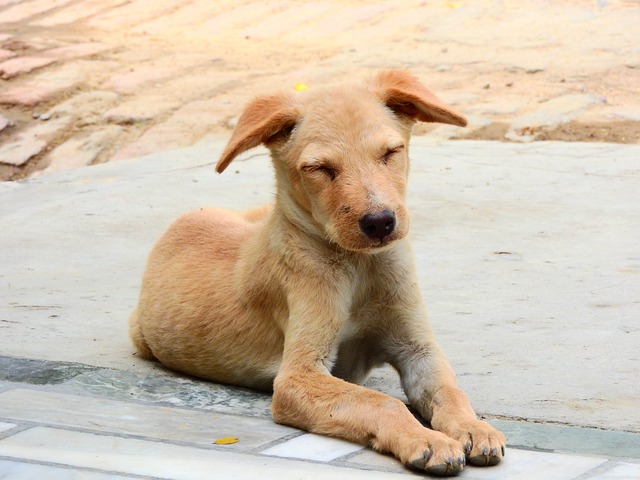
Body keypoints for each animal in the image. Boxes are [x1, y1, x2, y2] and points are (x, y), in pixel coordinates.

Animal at [130, 70, 508, 476]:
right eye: (321, 168)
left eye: (390, 152)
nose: (380, 222)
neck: (359, 267)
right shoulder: (298, 375)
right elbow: (380, 401)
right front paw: (425, 439)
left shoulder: (418, 349)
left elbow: (450, 391)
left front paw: (473, 427)